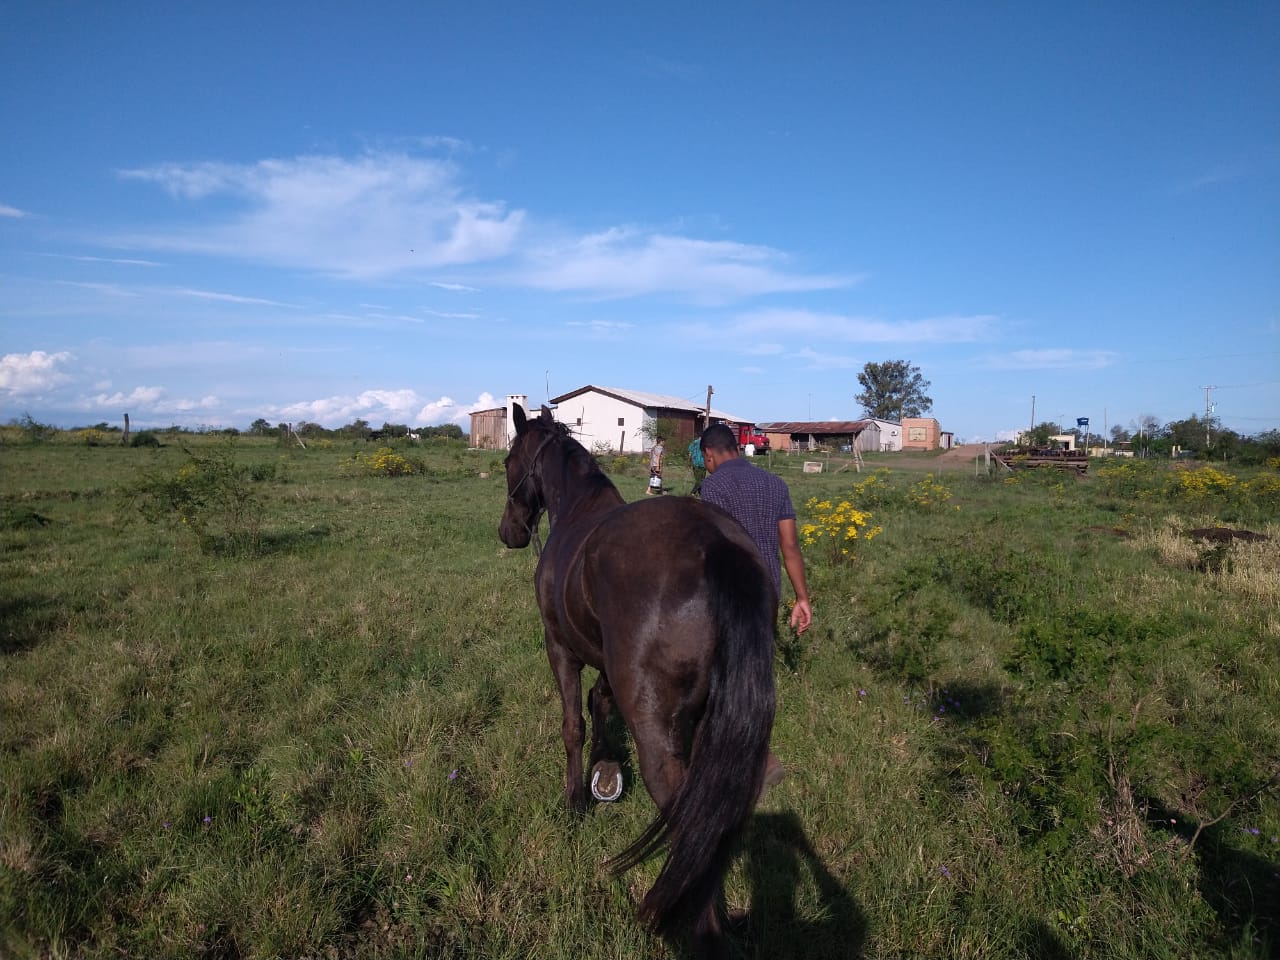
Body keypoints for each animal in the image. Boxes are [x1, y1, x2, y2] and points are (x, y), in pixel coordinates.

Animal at [498, 403, 777, 955]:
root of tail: (717, 546)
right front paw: (606, 772)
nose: (509, 531)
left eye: (507, 463)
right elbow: (600, 704)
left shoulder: (559, 648)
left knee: (693, 825)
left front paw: (575, 803)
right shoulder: (607, 663)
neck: (576, 511)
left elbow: (573, 724)